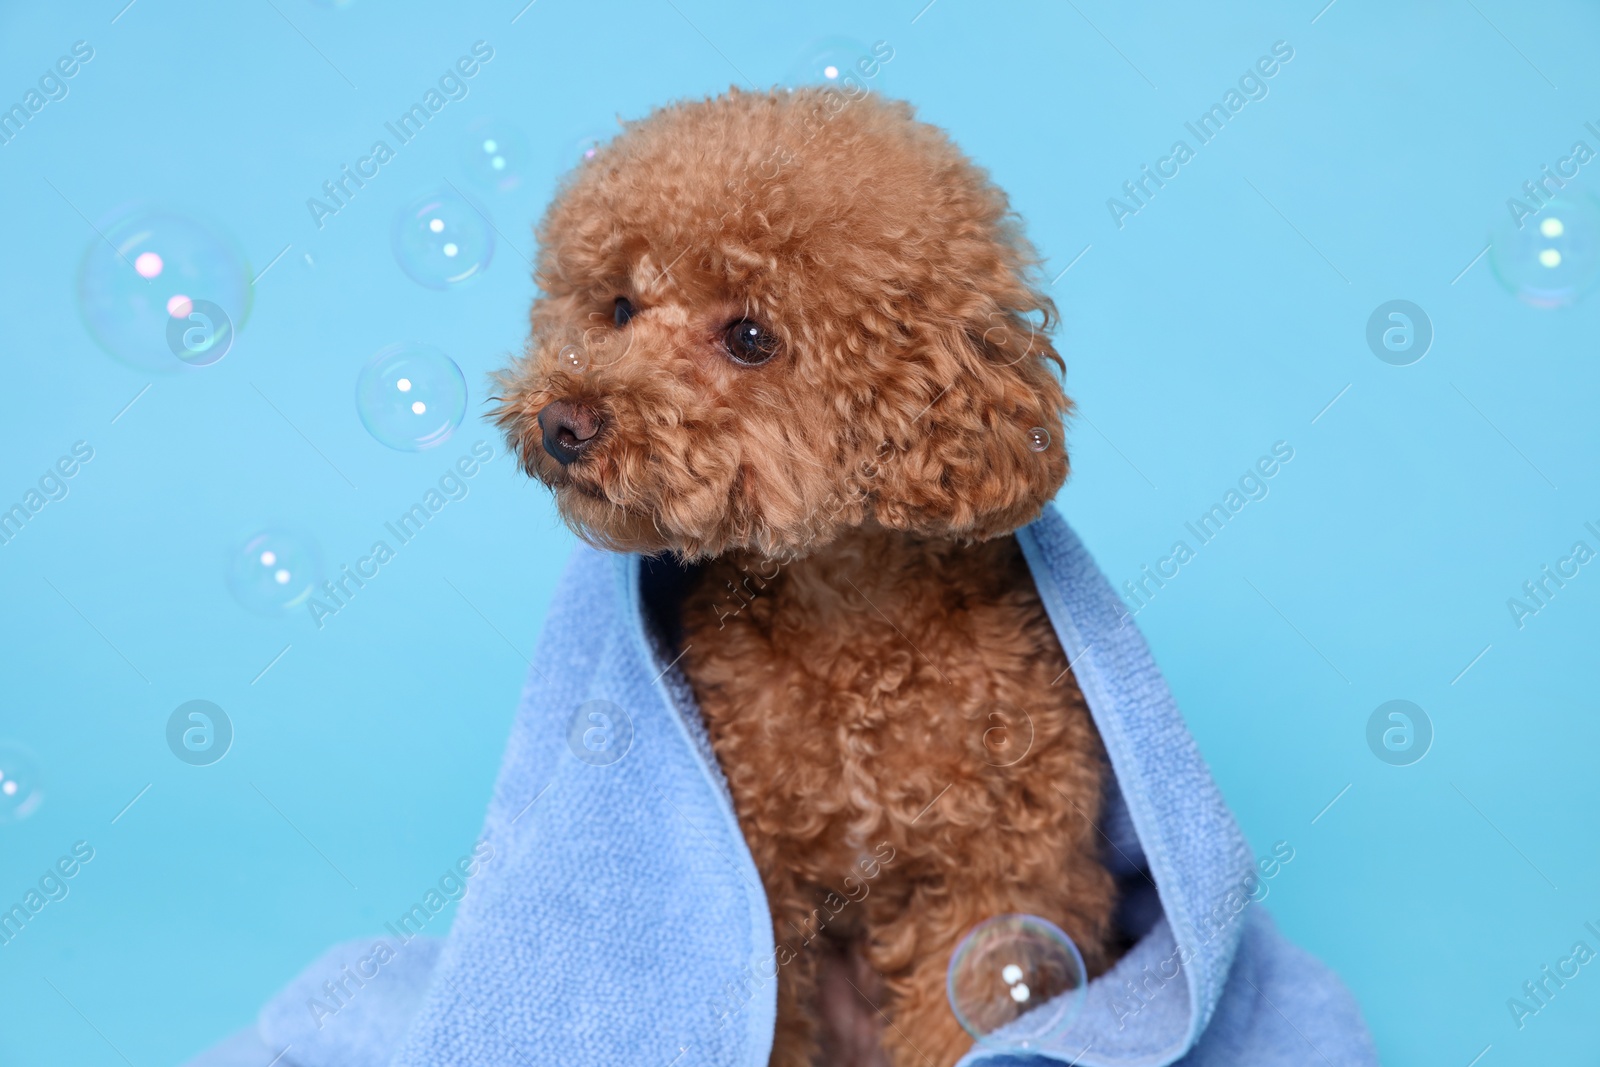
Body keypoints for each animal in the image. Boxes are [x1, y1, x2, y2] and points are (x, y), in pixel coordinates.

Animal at [496, 85, 1113, 1067]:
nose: (565, 421)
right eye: (620, 309)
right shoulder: (758, 881)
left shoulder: (1001, 879)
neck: (848, 623)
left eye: (751, 336)